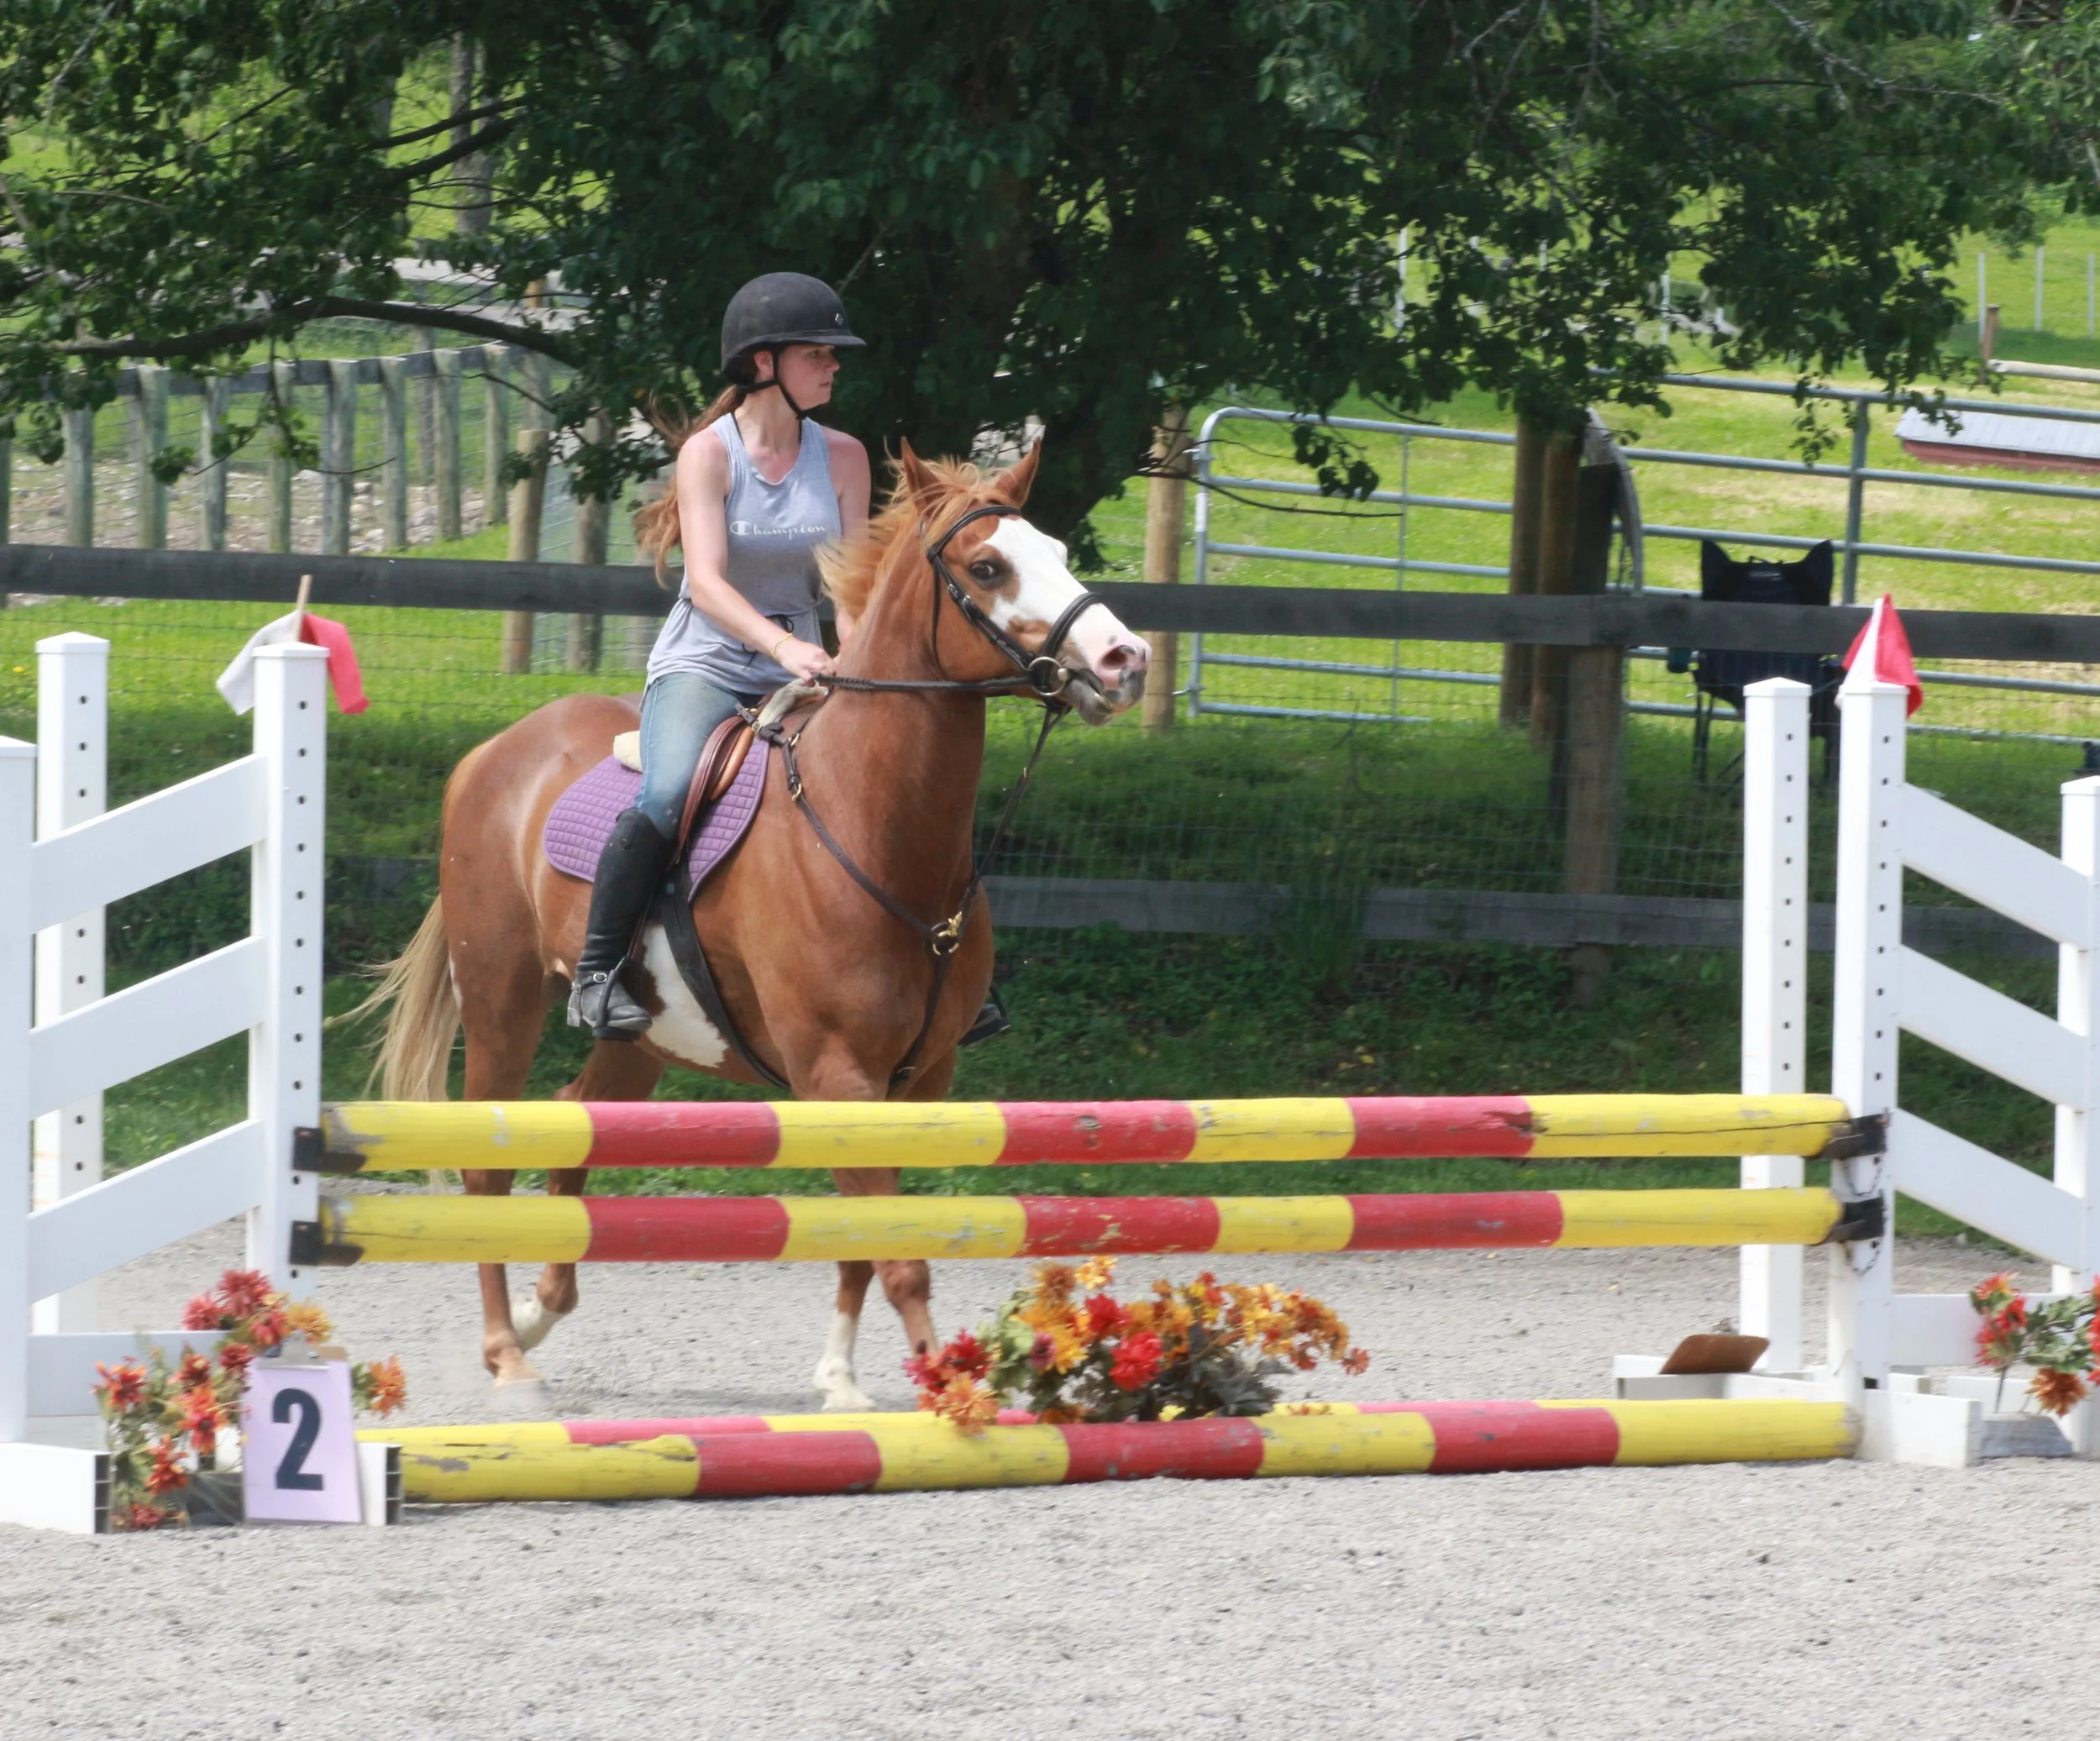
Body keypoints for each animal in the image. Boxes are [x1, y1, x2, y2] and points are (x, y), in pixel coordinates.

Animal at [366, 440, 1151, 1411]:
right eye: (987, 568)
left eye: (1056, 548)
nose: (1124, 660)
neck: (871, 825)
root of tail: (491, 755)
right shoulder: (837, 1075)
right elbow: (896, 1253)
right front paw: (943, 1391)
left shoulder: (919, 1080)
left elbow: (867, 1240)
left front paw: (841, 1378)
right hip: (502, 1002)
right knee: (487, 1165)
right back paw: (507, 1353)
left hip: (640, 1040)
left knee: (574, 1115)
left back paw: (541, 1311)